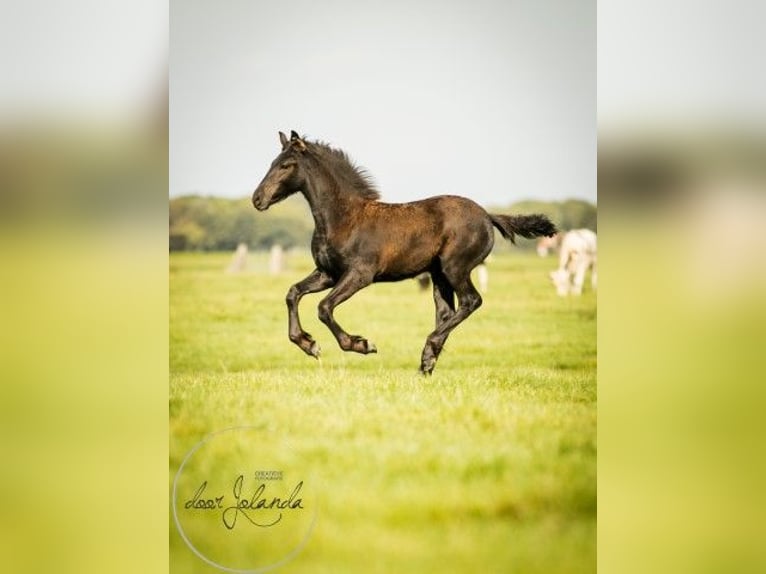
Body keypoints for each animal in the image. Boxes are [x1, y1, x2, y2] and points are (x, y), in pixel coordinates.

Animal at [252, 131, 557, 374]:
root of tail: (488, 216)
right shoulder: (328, 273)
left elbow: (324, 307)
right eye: (272, 164)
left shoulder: (360, 275)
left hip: (455, 268)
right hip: (439, 275)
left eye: (286, 165)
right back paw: (428, 361)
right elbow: (293, 293)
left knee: (472, 301)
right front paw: (307, 343)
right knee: (446, 312)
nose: (257, 199)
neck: (344, 218)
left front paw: (361, 344)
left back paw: (429, 349)